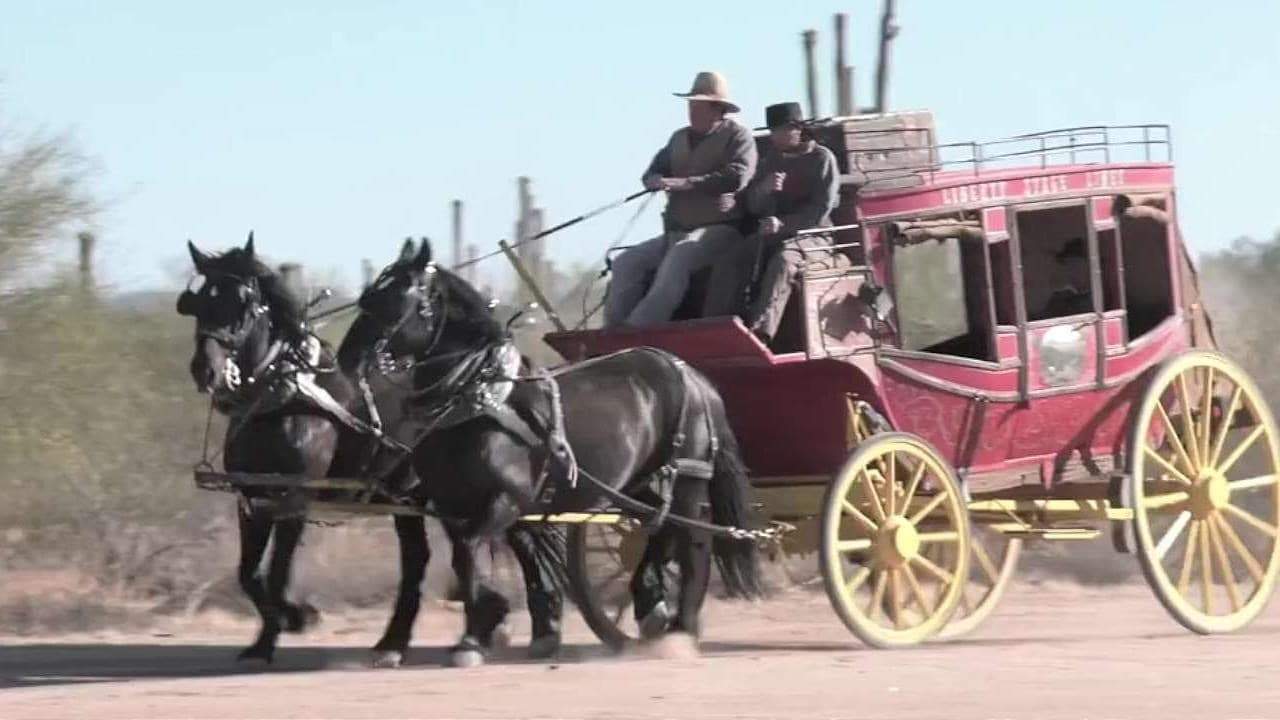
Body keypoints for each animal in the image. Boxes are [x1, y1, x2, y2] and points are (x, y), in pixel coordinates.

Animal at [179, 233, 565, 666]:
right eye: (198, 303)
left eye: (243, 303)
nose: (205, 370)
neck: (282, 397)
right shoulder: (251, 496)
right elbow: (248, 574)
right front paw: (263, 643)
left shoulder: (295, 495)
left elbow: (277, 573)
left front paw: (298, 616)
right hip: (425, 497)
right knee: (432, 557)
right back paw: (405, 641)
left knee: (516, 543)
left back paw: (530, 629)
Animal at [355, 238, 762, 666]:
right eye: (368, 297)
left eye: (399, 298)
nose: (354, 358)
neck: (478, 400)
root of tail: (693, 375)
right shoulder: (452, 505)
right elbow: (465, 562)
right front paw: (483, 628)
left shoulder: (507, 499)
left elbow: (469, 555)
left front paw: (482, 630)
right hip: (640, 486)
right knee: (659, 531)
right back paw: (651, 608)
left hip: (686, 477)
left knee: (691, 543)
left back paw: (682, 629)